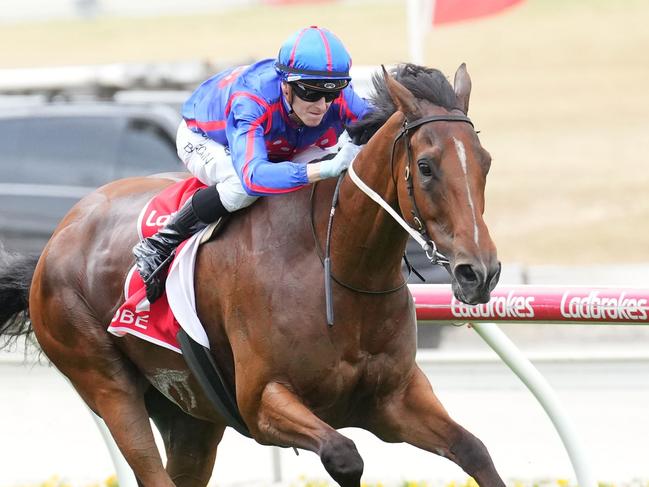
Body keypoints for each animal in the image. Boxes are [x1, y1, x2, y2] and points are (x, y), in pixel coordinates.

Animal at [0, 63, 502, 487]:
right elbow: (344, 455)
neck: (335, 265)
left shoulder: (394, 399)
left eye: (486, 161)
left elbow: (475, 450)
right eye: (426, 166)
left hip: (190, 415)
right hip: (105, 381)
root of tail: (55, 241)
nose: (480, 273)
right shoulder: (261, 403)